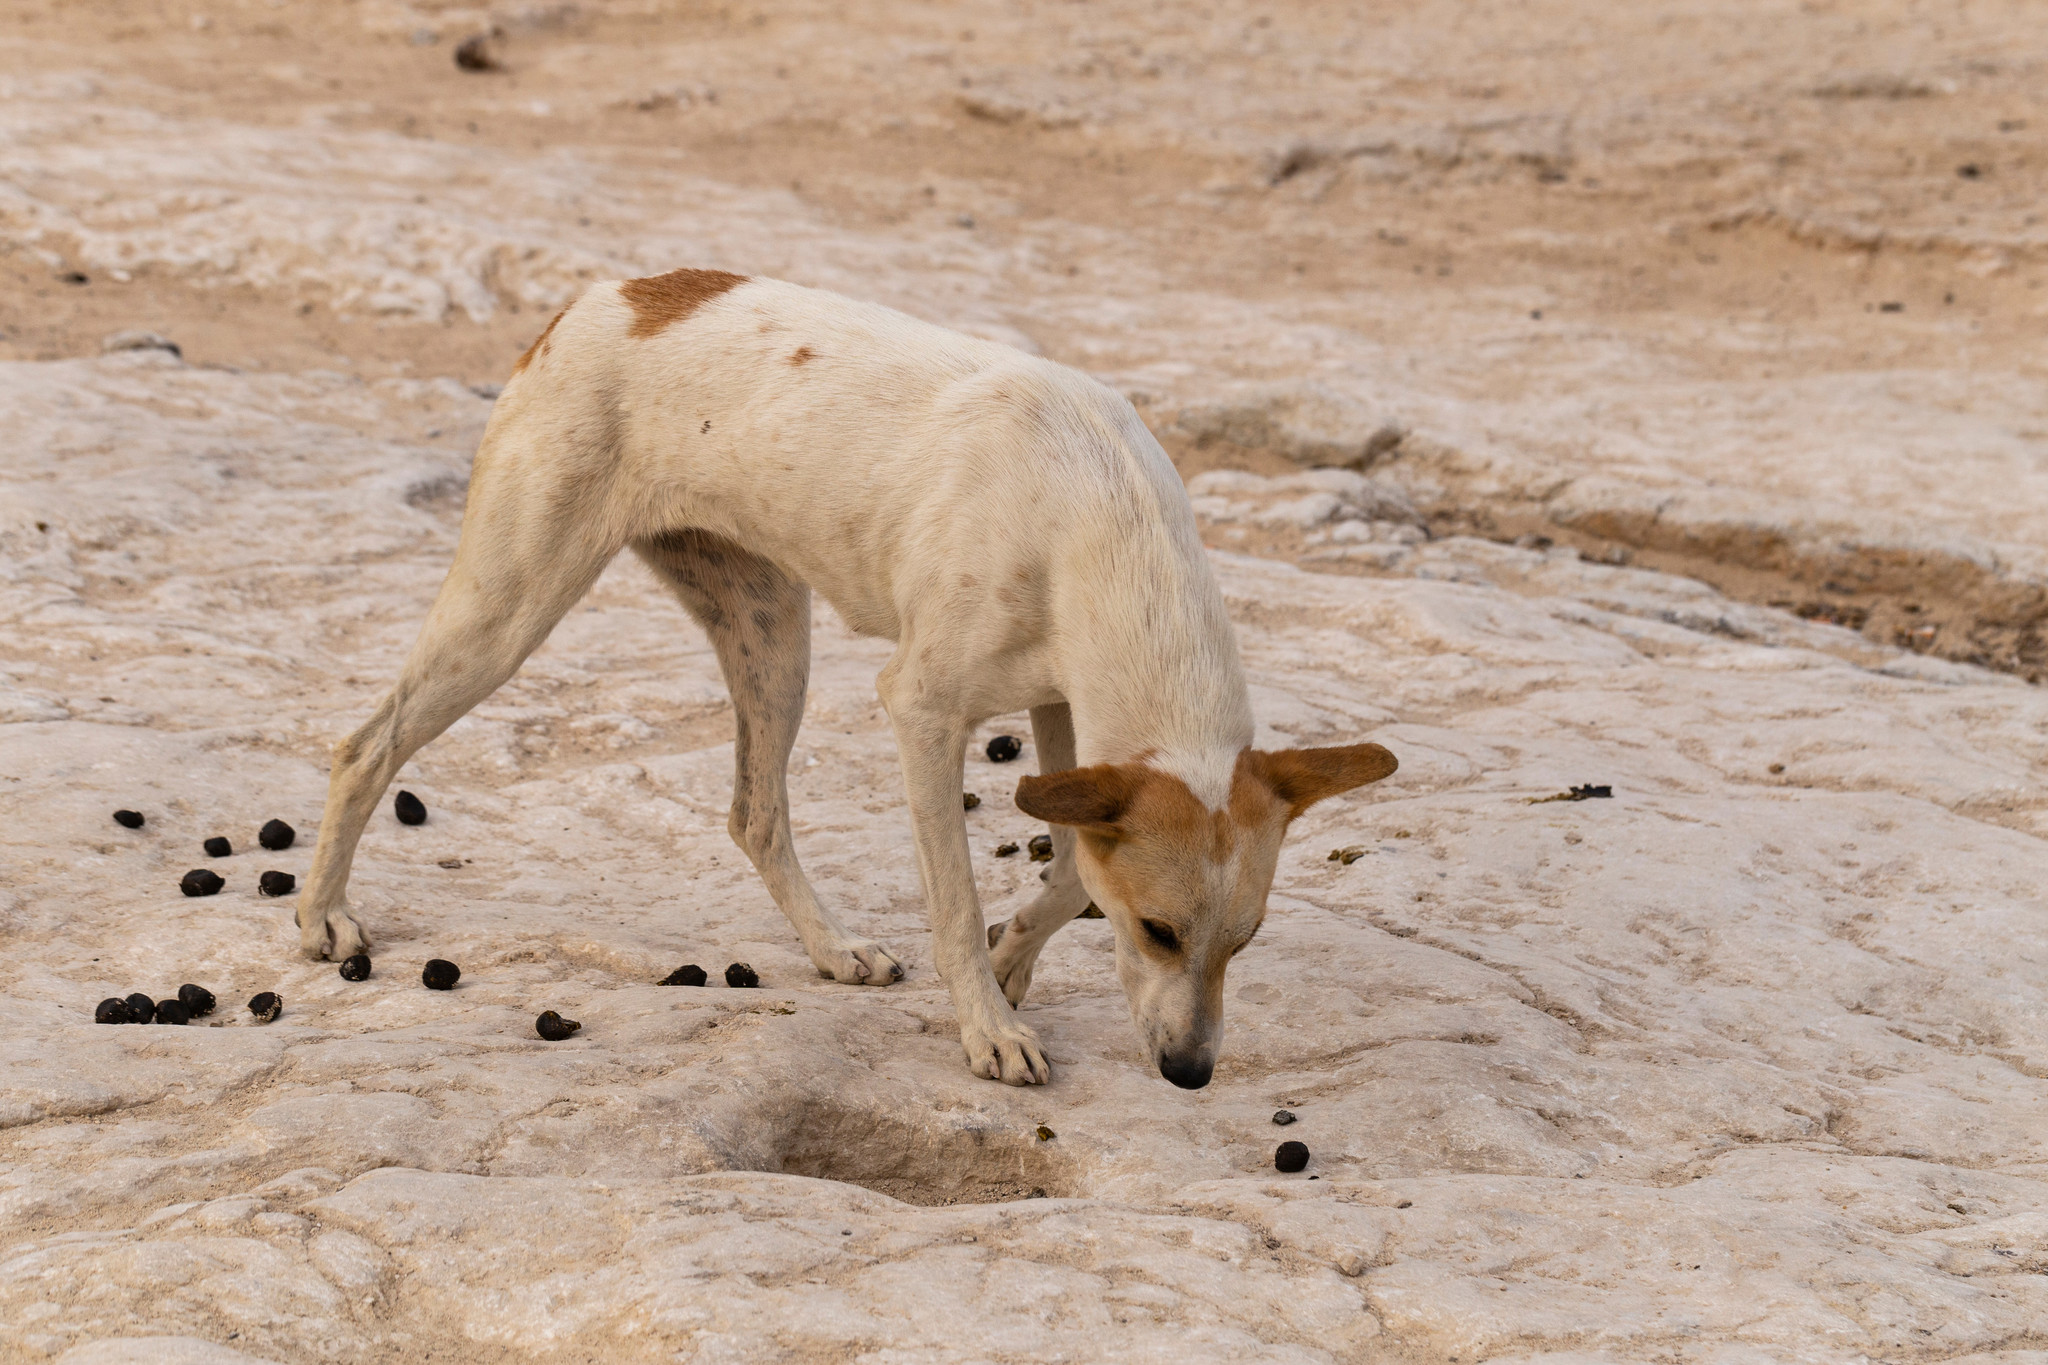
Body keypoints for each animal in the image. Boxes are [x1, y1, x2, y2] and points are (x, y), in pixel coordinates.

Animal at [299, 270, 1392, 1088]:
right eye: (1158, 932)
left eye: (1244, 939)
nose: (1191, 1073)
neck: (1093, 509)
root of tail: (609, 295)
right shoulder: (924, 710)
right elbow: (958, 900)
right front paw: (988, 1023)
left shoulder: (1065, 716)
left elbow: (1067, 874)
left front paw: (1011, 960)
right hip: (512, 606)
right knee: (363, 744)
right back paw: (321, 916)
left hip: (772, 635)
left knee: (754, 813)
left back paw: (834, 949)